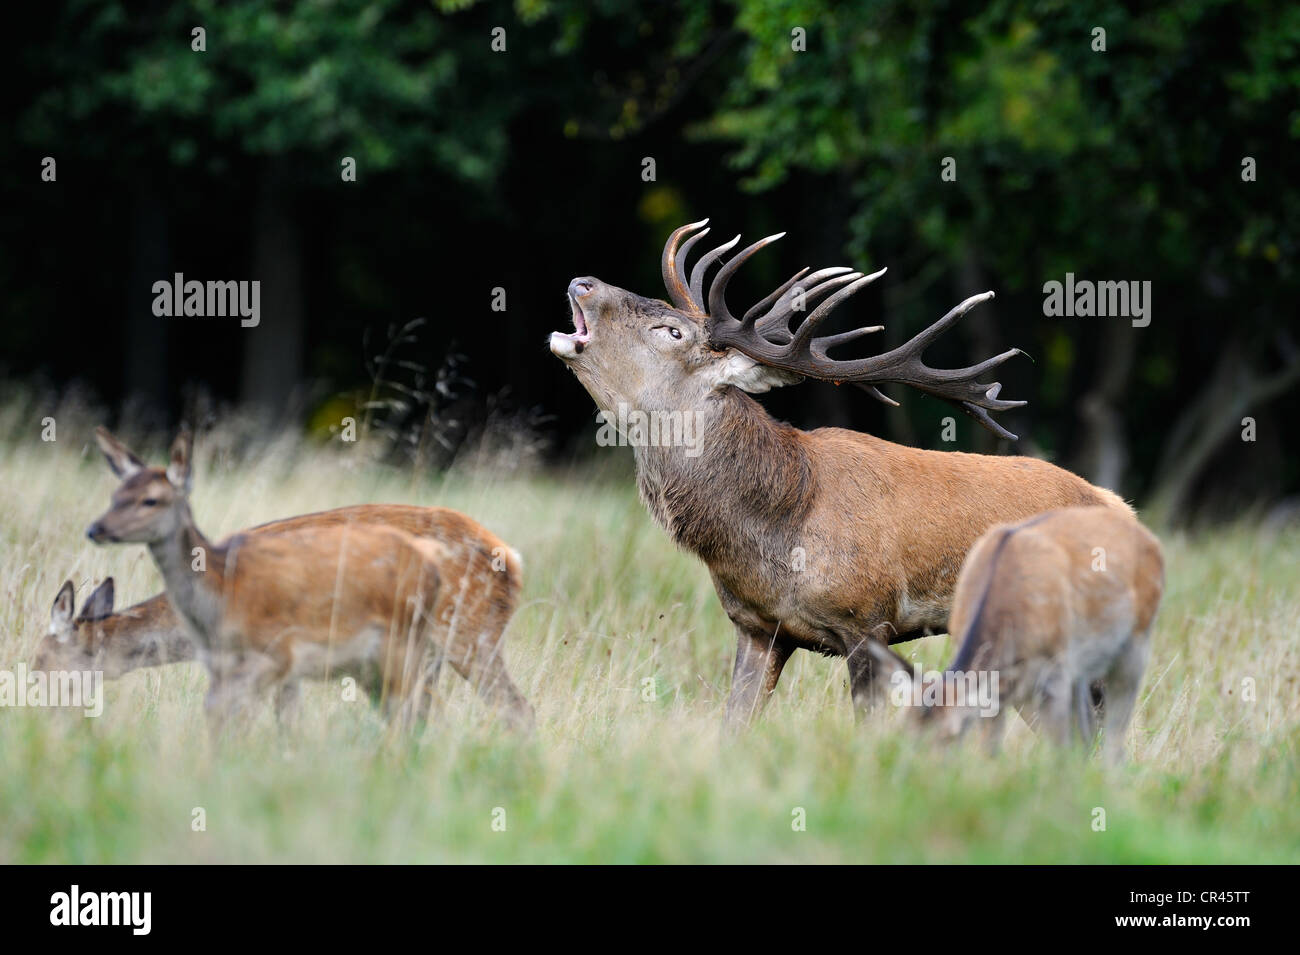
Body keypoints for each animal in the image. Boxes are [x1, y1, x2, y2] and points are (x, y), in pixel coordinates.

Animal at [548, 218, 1128, 722]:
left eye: (671, 330)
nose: (581, 281)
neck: (779, 528)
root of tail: (1122, 509)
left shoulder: (868, 619)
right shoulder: (757, 628)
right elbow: (733, 724)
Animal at [863, 504, 1170, 764]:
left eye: (952, 734)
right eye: (903, 733)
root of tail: (1150, 538)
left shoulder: (1055, 671)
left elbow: (1061, 747)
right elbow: (990, 749)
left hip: (1138, 642)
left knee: (1114, 732)